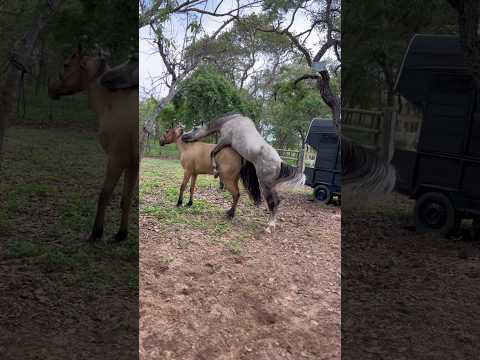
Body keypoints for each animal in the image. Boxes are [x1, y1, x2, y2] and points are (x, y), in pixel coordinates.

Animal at [48, 45, 139, 242]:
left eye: (66, 64)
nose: (51, 88)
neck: (113, 102)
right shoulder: (132, 164)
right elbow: (126, 198)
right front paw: (121, 234)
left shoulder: (117, 159)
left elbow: (104, 195)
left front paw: (96, 233)